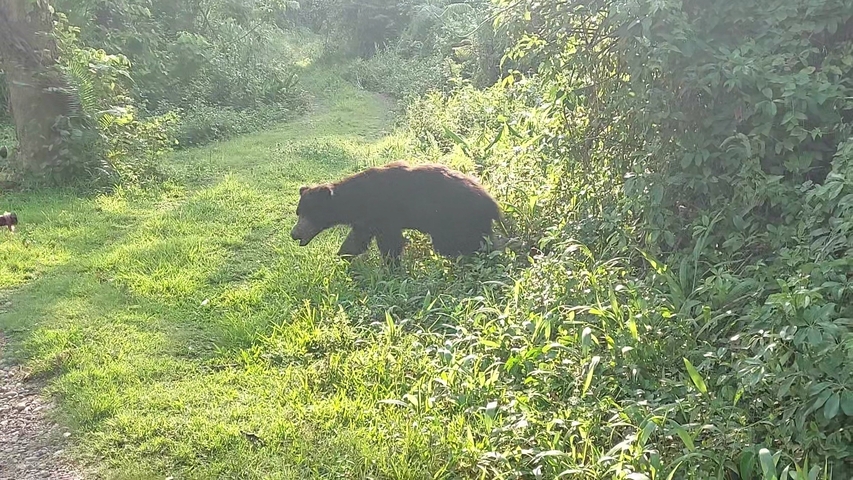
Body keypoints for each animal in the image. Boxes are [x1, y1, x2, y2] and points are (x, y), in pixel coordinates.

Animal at [290, 161, 501, 260]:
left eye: (308, 214)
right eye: (299, 212)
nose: (294, 233)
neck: (356, 202)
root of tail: (492, 203)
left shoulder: (385, 212)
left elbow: (390, 243)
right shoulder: (366, 220)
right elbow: (356, 241)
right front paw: (344, 255)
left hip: (456, 217)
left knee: (456, 243)